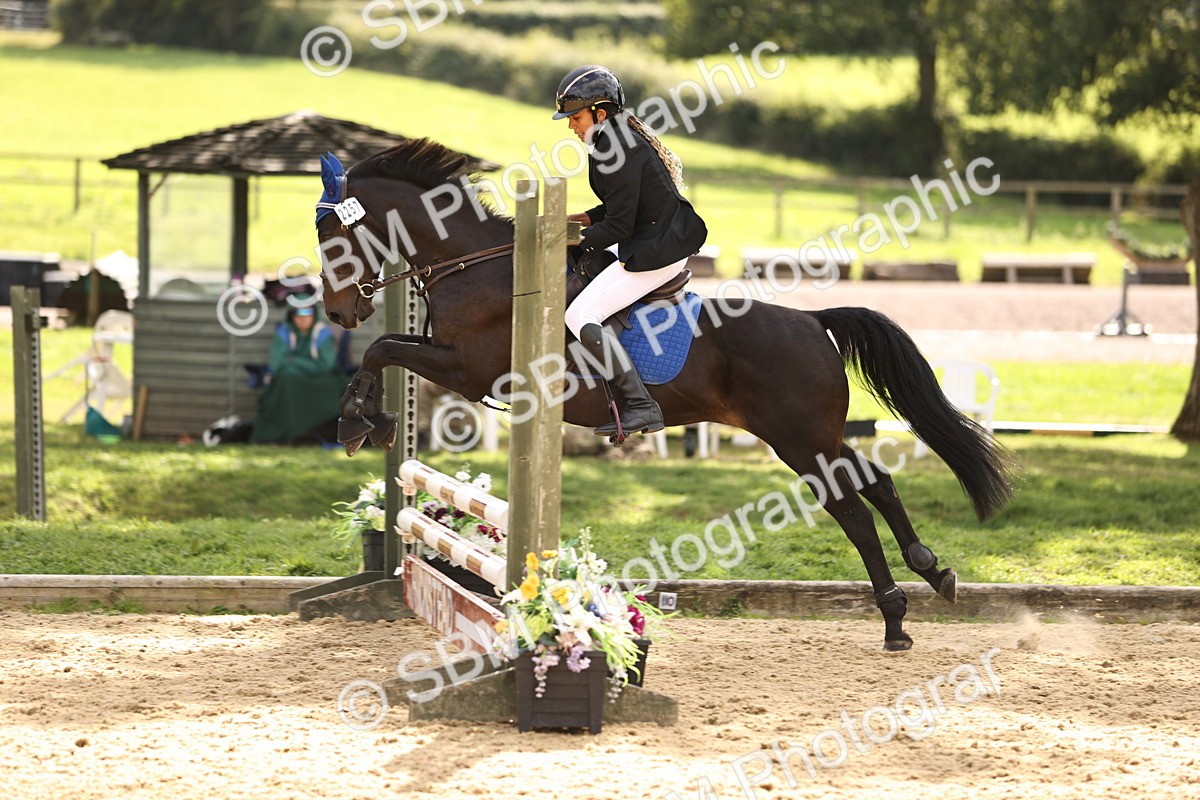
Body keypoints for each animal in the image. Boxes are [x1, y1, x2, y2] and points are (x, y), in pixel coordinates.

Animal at [314, 138, 1015, 651]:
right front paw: (372, 421)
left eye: (332, 239)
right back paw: (929, 578)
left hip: (799, 440)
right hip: (814, 435)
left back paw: (896, 618)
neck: (476, 264)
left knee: (854, 511)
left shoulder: (468, 370)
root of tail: (813, 322)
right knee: (876, 484)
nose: (340, 312)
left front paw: (357, 421)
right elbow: (388, 347)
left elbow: (383, 350)